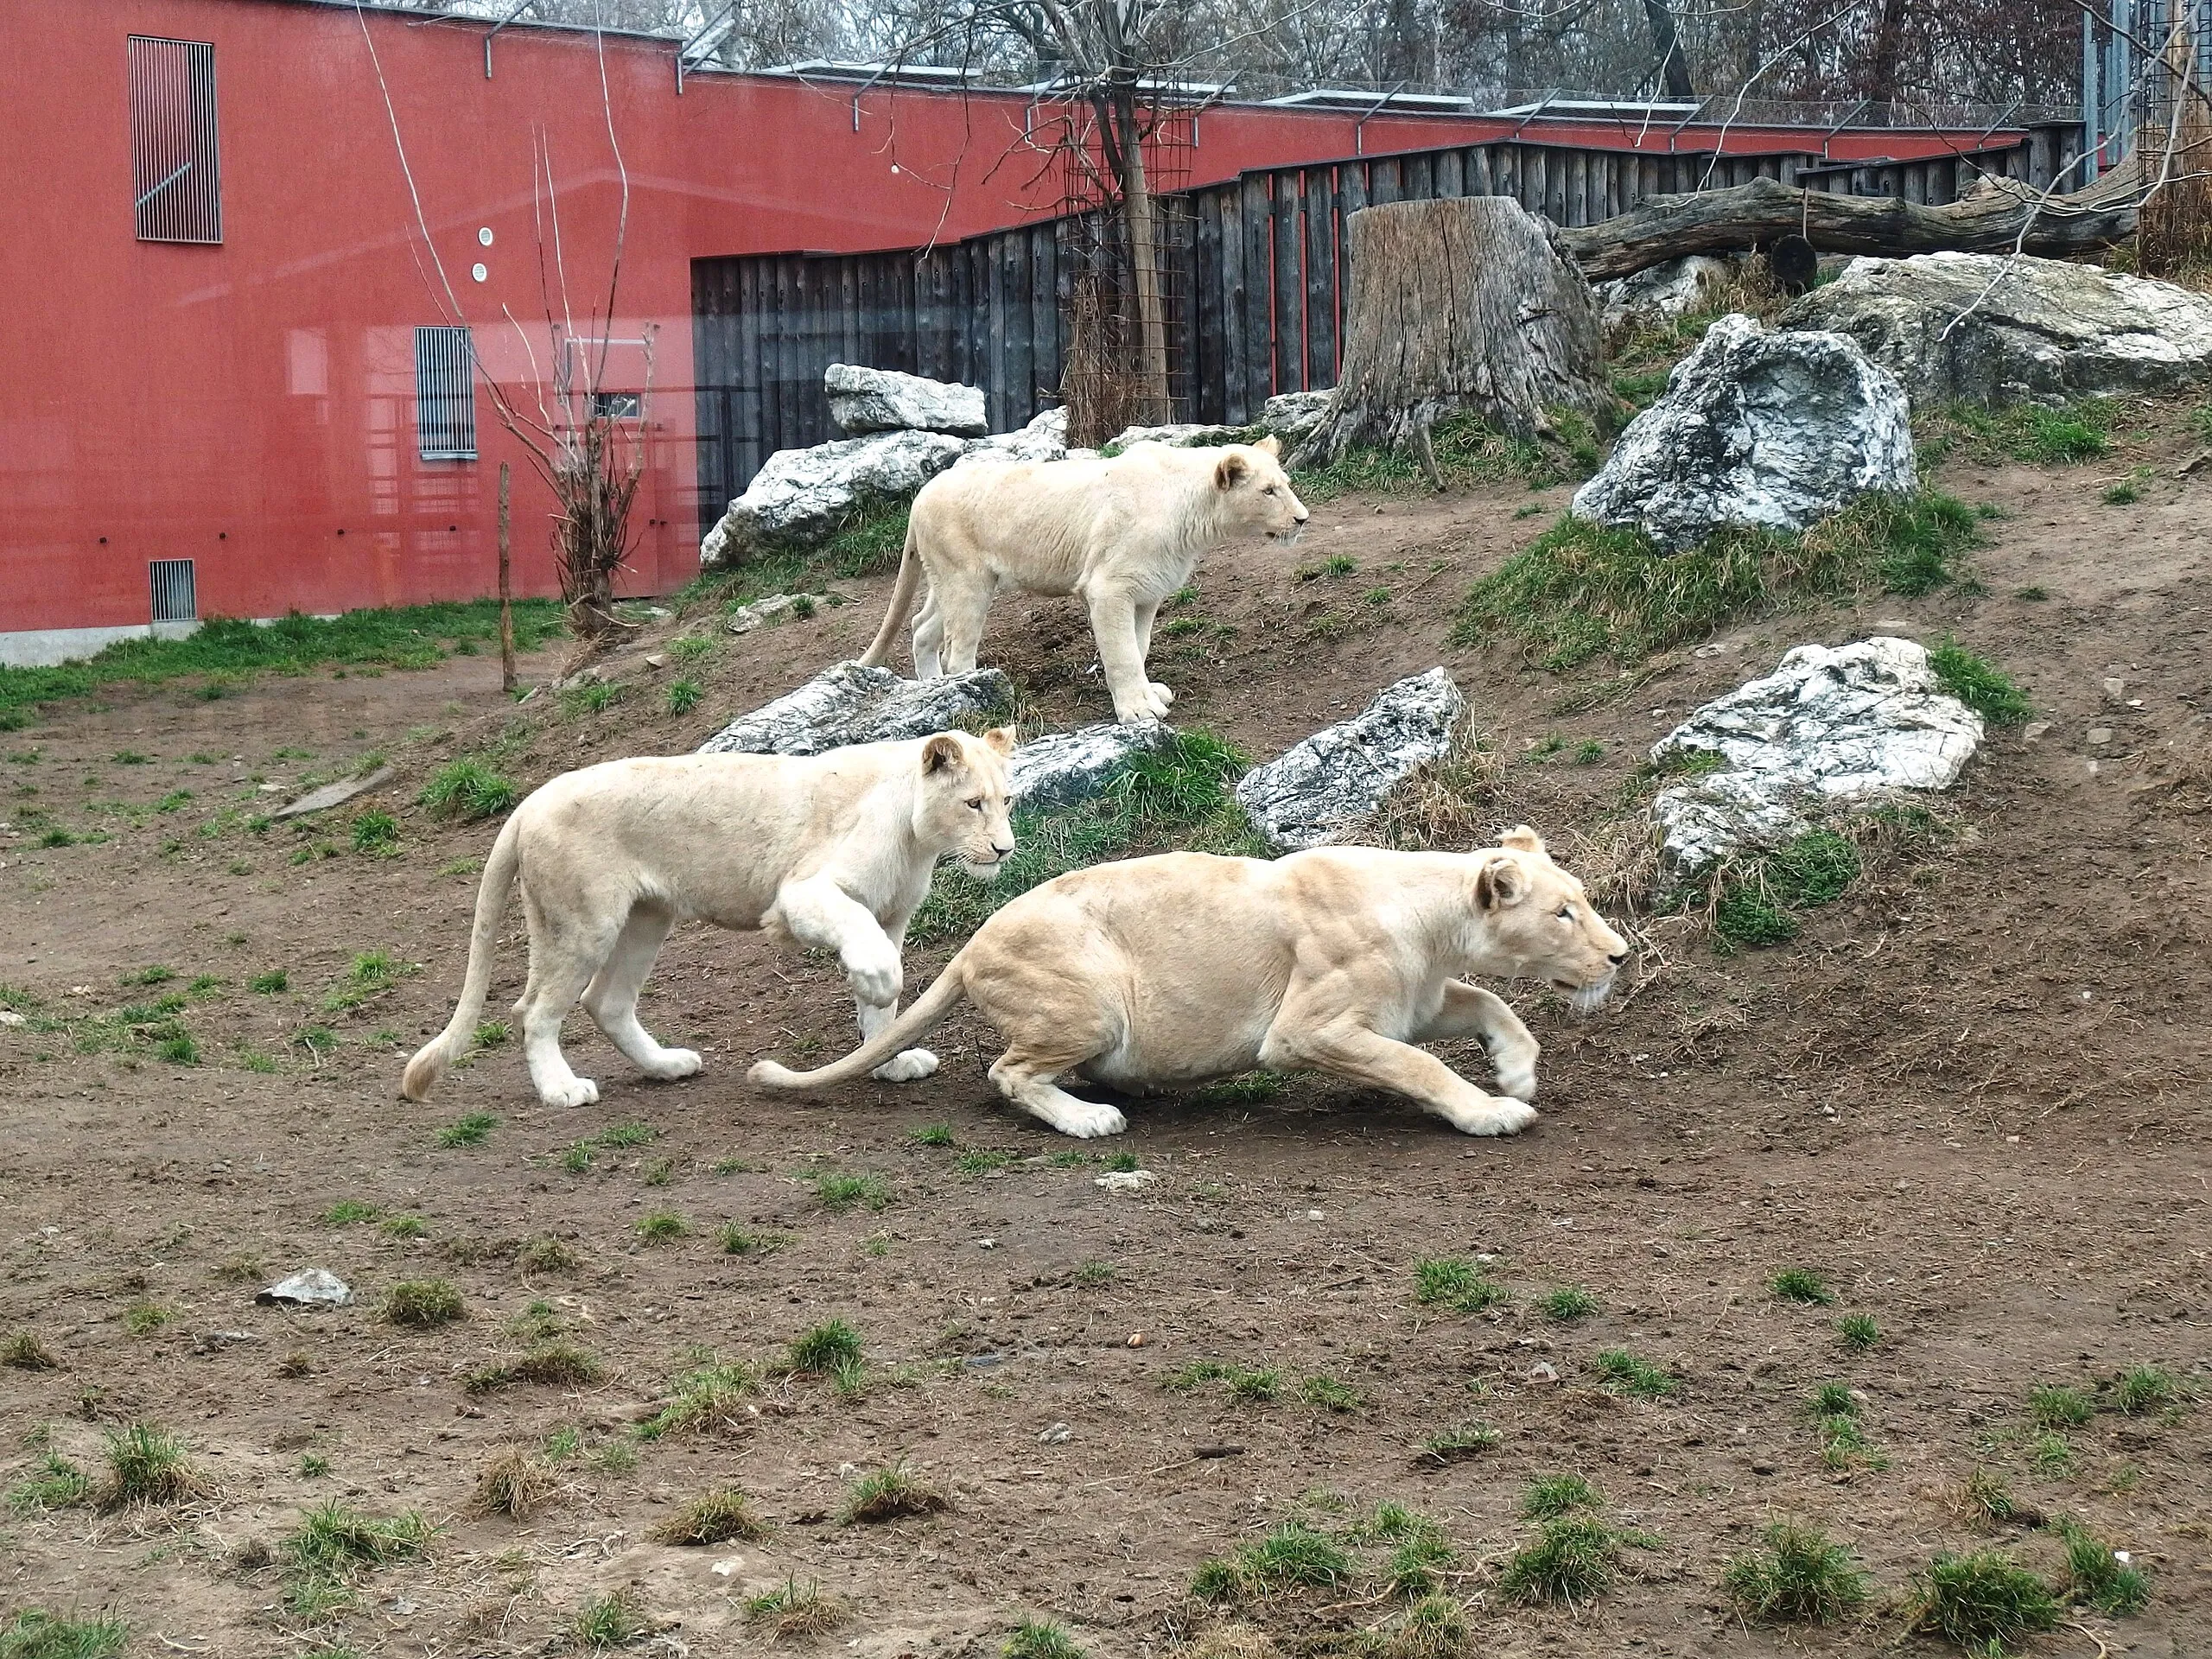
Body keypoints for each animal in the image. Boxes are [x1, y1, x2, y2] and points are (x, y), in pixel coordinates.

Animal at [752, 831, 1637, 1141]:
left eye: (1583, 901)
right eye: (1564, 913)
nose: (1621, 955)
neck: (1432, 913)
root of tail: (971, 946)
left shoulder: (1412, 1001)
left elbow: (1491, 1001)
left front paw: (1515, 1071)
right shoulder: (1309, 1027)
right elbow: (1420, 1064)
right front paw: (1492, 1111)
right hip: (1092, 1000)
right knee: (1008, 1072)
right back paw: (1091, 1119)